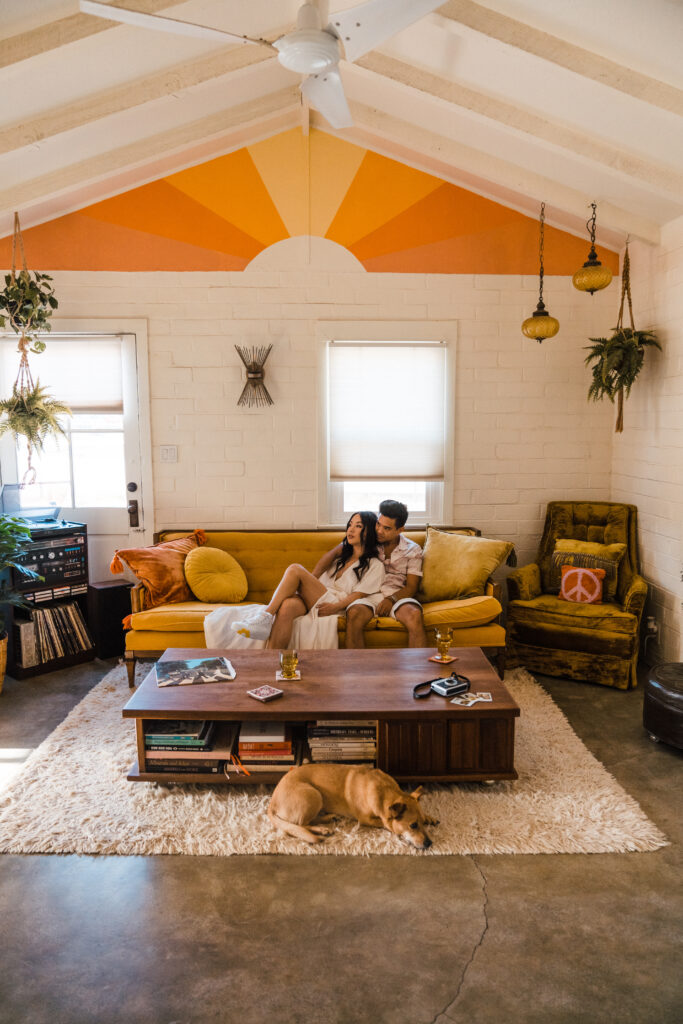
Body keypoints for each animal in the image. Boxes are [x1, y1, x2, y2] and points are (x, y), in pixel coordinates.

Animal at [266, 761, 438, 847]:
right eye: (413, 825)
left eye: (422, 823)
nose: (430, 843)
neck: (384, 790)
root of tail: (271, 804)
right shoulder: (366, 819)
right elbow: (385, 824)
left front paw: (429, 817)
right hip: (313, 795)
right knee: (302, 824)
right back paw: (322, 829)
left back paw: (329, 818)